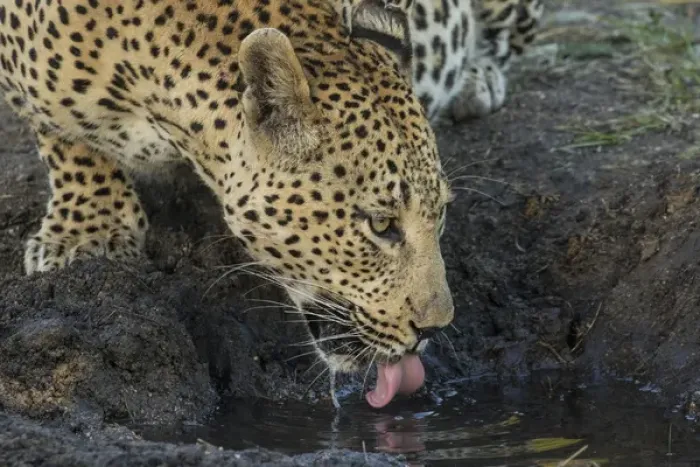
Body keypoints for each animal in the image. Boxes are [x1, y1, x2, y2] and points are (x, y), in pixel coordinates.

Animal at [0, 0, 543, 408]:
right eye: (381, 224)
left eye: (442, 214)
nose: (434, 329)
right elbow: (66, 136)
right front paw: (86, 231)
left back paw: (475, 79)